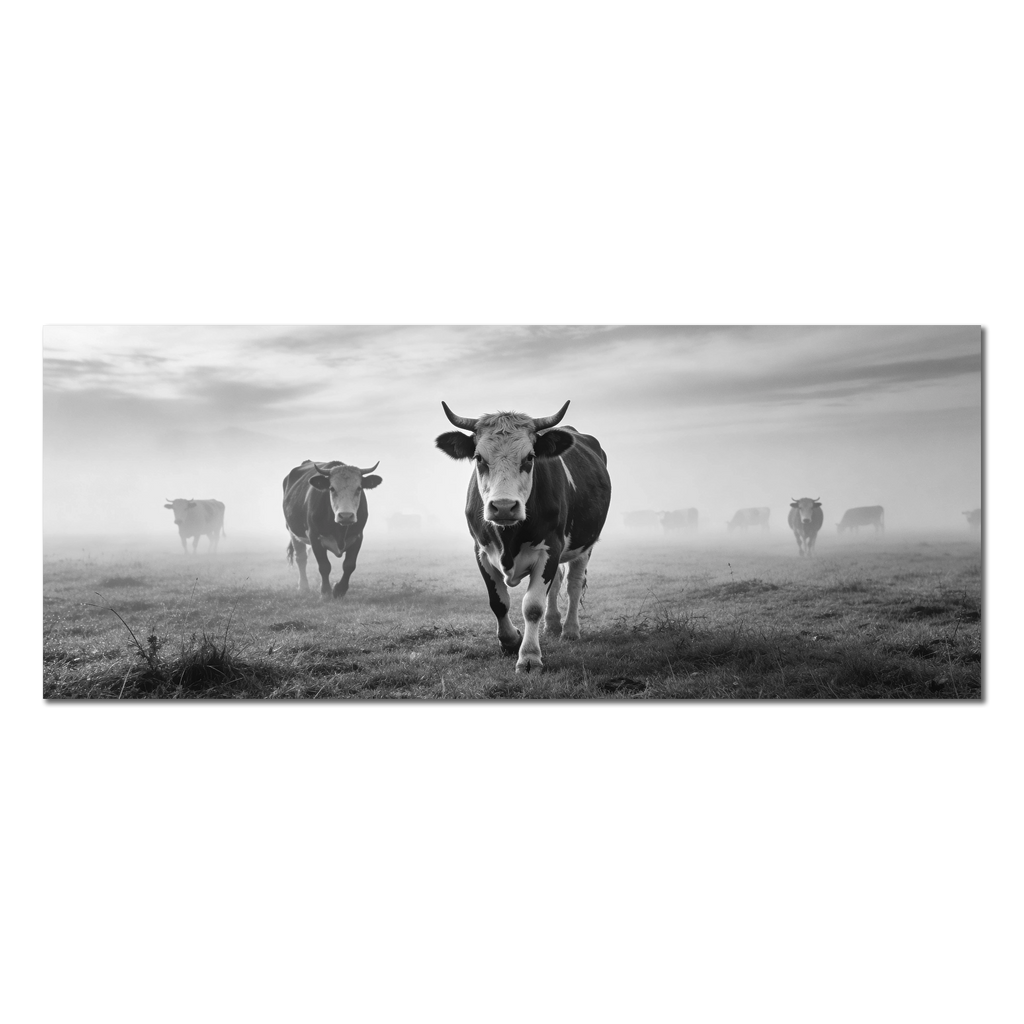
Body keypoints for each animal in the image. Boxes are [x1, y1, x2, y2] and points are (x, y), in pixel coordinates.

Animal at [282, 459, 382, 600]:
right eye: (332, 488)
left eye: (359, 488)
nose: (346, 515)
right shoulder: (315, 537)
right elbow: (324, 566)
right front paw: (325, 592)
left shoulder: (358, 537)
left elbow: (349, 565)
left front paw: (339, 589)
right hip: (293, 532)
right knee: (301, 558)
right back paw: (303, 587)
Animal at [435, 400, 611, 673]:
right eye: (478, 457)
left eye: (530, 457)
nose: (504, 507)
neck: (509, 539)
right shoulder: (481, 551)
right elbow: (498, 602)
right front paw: (510, 641)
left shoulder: (550, 548)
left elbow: (532, 606)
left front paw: (529, 656)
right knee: (557, 583)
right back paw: (553, 625)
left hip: (585, 544)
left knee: (573, 584)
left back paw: (570, 630)